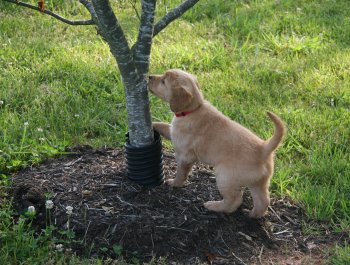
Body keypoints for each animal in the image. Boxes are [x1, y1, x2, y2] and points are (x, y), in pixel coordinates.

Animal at [148, 68, 284, 217]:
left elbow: (181, 172)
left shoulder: (185, 155)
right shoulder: (173, 131)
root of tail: (263, 148)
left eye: (163, 81)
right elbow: (162, 125)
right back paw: (252, 214)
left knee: (234, 200)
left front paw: (174, 183)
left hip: (225, 177)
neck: (194, 109)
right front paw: (152, 124)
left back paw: (214, 206)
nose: (149, 76)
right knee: (263, 201)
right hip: (258, 182)